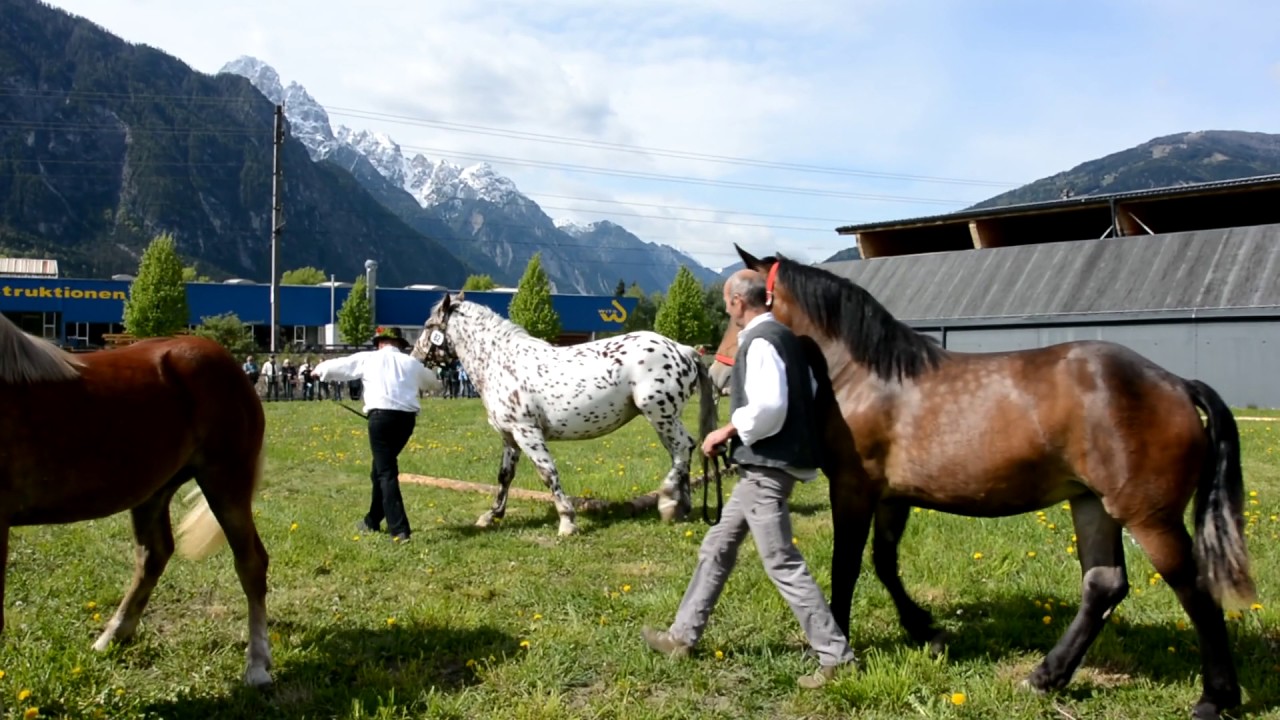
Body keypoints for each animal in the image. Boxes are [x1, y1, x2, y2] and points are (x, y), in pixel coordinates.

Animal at [0, 313, 272, 688]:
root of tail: (224, 359)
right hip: (153, 492)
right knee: (154, 554)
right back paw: (113, 635)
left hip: (226, 481)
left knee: (251, 564)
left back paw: (257, 664)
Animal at [410, 293, 718, 536]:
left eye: (428, 326)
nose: (415, 356)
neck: (501, 363)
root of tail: (684, 350)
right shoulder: (510, 436)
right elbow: (504, 476)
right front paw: (491, 516)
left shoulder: (527, 432)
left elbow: (547, 473)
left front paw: (567, 522)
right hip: (663, 418)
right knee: (681, 451)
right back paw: (681, 506)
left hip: (660, 414)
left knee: (683, 447)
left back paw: (667, 503)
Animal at [718, 244, 1256, 720]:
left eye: (735, 312)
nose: (722, 374)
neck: (866, 375)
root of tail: (1177, 384)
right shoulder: (892, 496)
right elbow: (884, 563)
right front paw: (926, 631)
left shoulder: (853, 489)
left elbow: (846, 567)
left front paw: (836, 647)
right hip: (1093, 504)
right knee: (1103, 586)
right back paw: (1045, 677)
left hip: (1149, 517)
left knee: (1195, 589)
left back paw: (1216, 697)